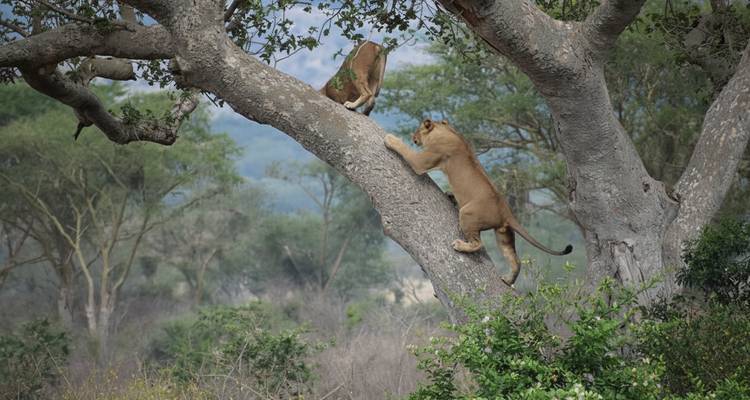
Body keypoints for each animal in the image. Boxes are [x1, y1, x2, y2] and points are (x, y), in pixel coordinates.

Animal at [384, 119, 572, 285]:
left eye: (417, 130)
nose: (413, 137)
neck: (446, 131)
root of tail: (506, 211)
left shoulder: (423, 161)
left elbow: (406, 151)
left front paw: (390, 138)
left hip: (468, 214)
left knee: (478, 244)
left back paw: (460, 245)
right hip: (503, 235)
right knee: (515, 260)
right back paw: (508, 280)